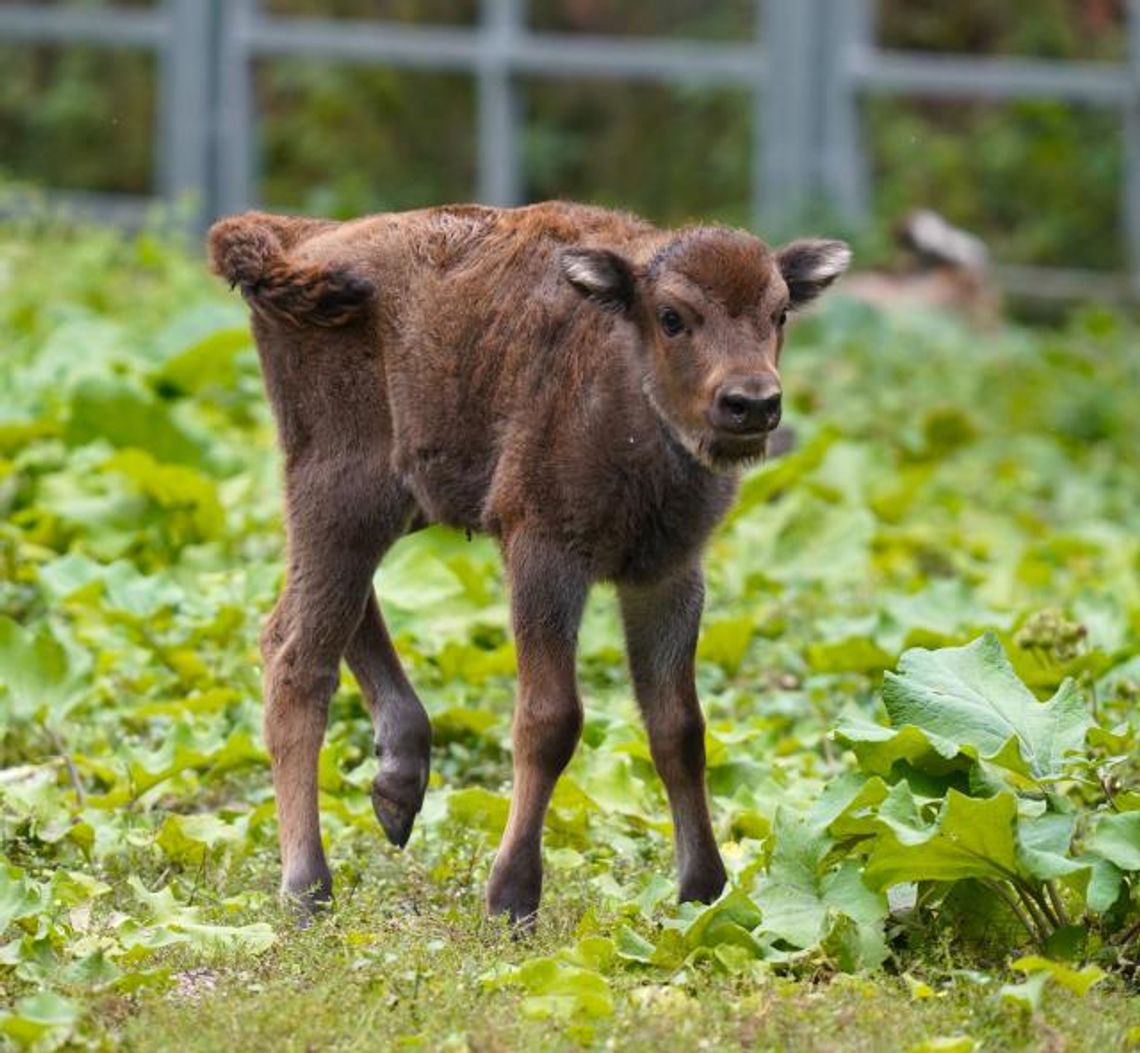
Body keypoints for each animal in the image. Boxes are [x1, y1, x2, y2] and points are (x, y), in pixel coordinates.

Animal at [207, 197, 848, 920]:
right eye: (672, 315)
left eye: (780, 312)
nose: (752, 402)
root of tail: (302, 237)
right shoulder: (544, 554)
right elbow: (550, 719)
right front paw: (512, 895)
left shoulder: (667, 575)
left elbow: (679, 727)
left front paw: (702, 891)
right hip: (342, 488)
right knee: (296, 656)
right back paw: (308, 887)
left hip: (397, 499)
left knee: (324, 613)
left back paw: (398, 785)